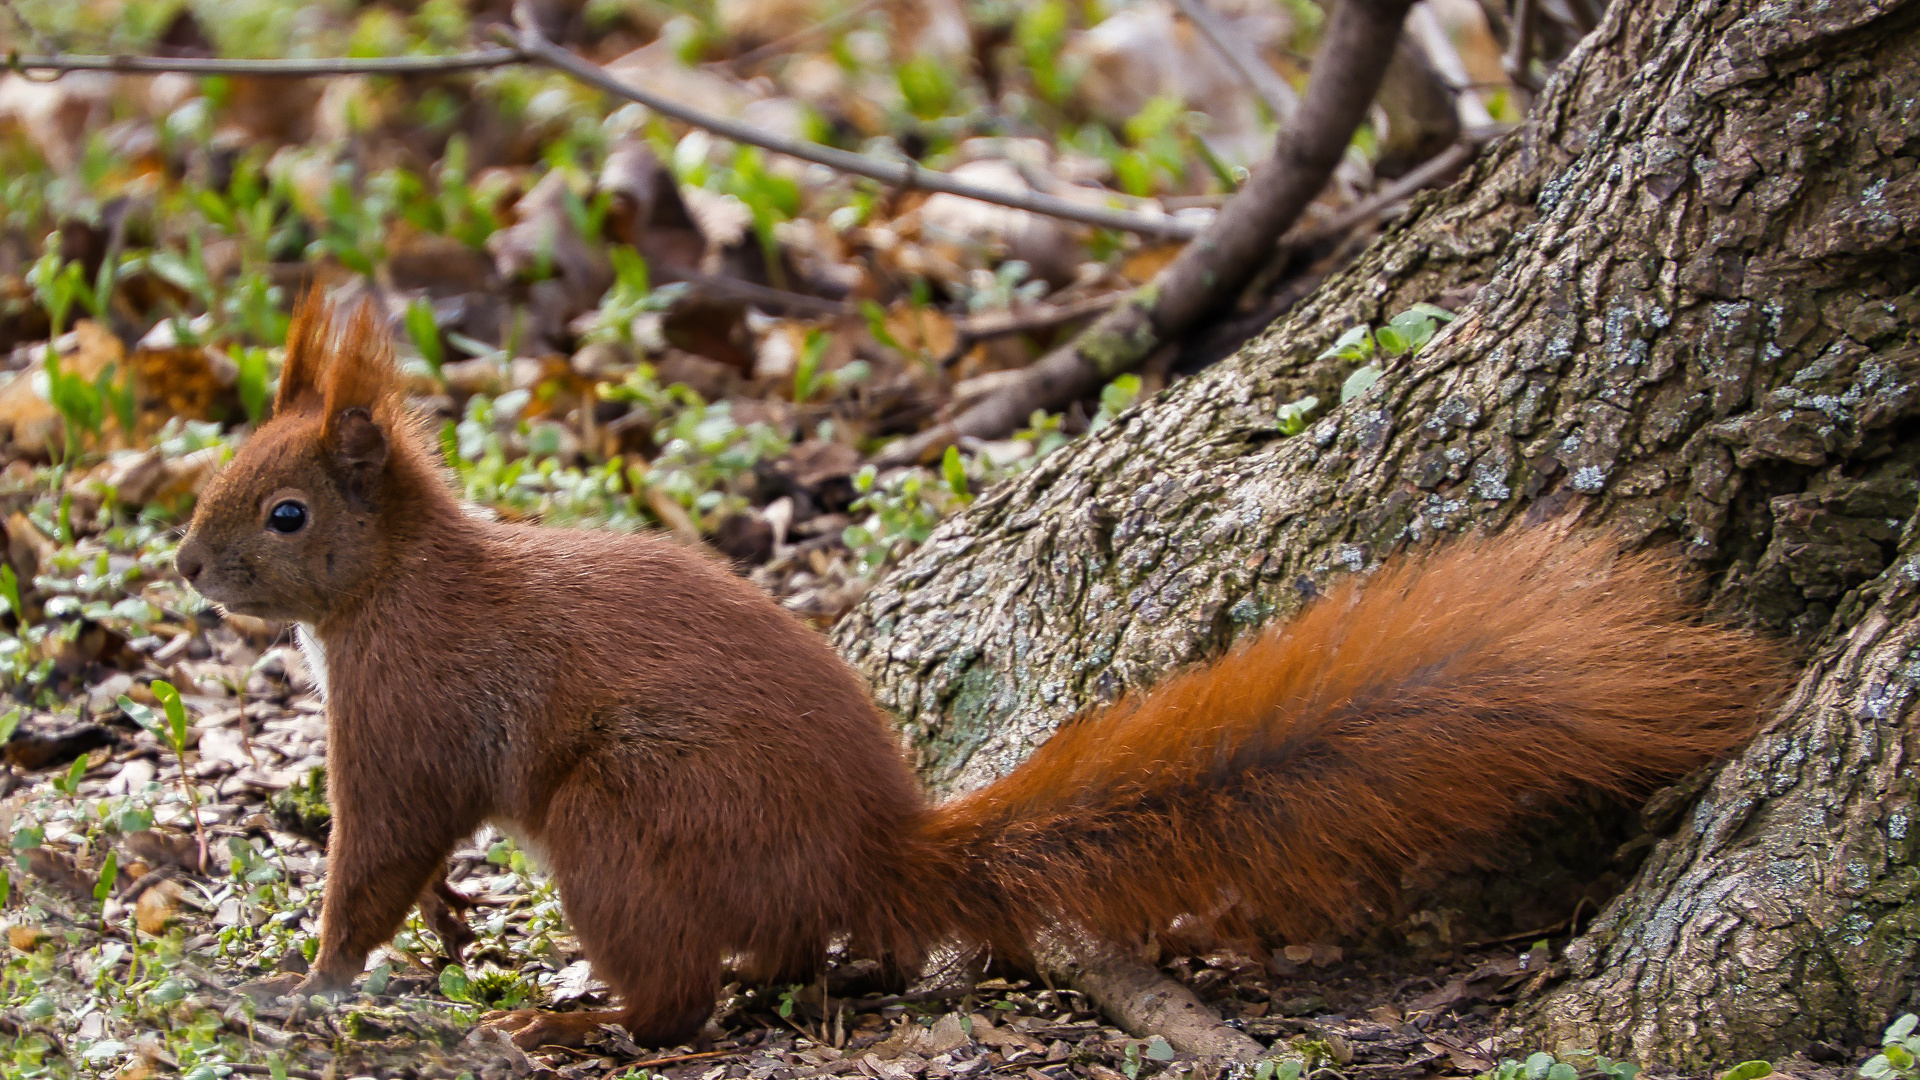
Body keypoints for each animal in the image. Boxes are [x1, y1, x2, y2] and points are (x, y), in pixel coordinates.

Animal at [183, 294, 1781, 1045]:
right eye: (220, 469)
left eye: (286, 513)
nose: (188, 568)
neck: (398, 585)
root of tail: (874, 852)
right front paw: (429, 933)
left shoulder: (409, 710)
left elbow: (380, 852)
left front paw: (316, 979)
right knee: (773, 962)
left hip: (623, 815)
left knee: (684, 993)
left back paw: (573, 1024)